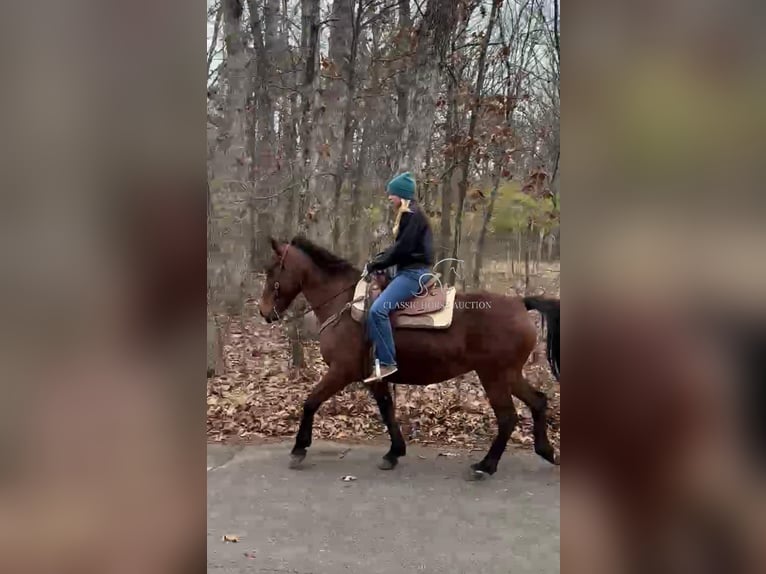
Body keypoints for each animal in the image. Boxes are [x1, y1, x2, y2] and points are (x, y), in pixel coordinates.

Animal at [260, 236, 560, 480]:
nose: (264, 312)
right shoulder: (375, 376)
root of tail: (520, 303)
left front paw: (299, 448)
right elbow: (387, 409)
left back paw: (485, 466)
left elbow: (310, 402)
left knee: (507, 417)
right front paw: (394, 452)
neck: (344, 305)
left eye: (272, 269)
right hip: (509, 374)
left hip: (494, 376)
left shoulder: (341, 371)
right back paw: (546, 451)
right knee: (538, 401)